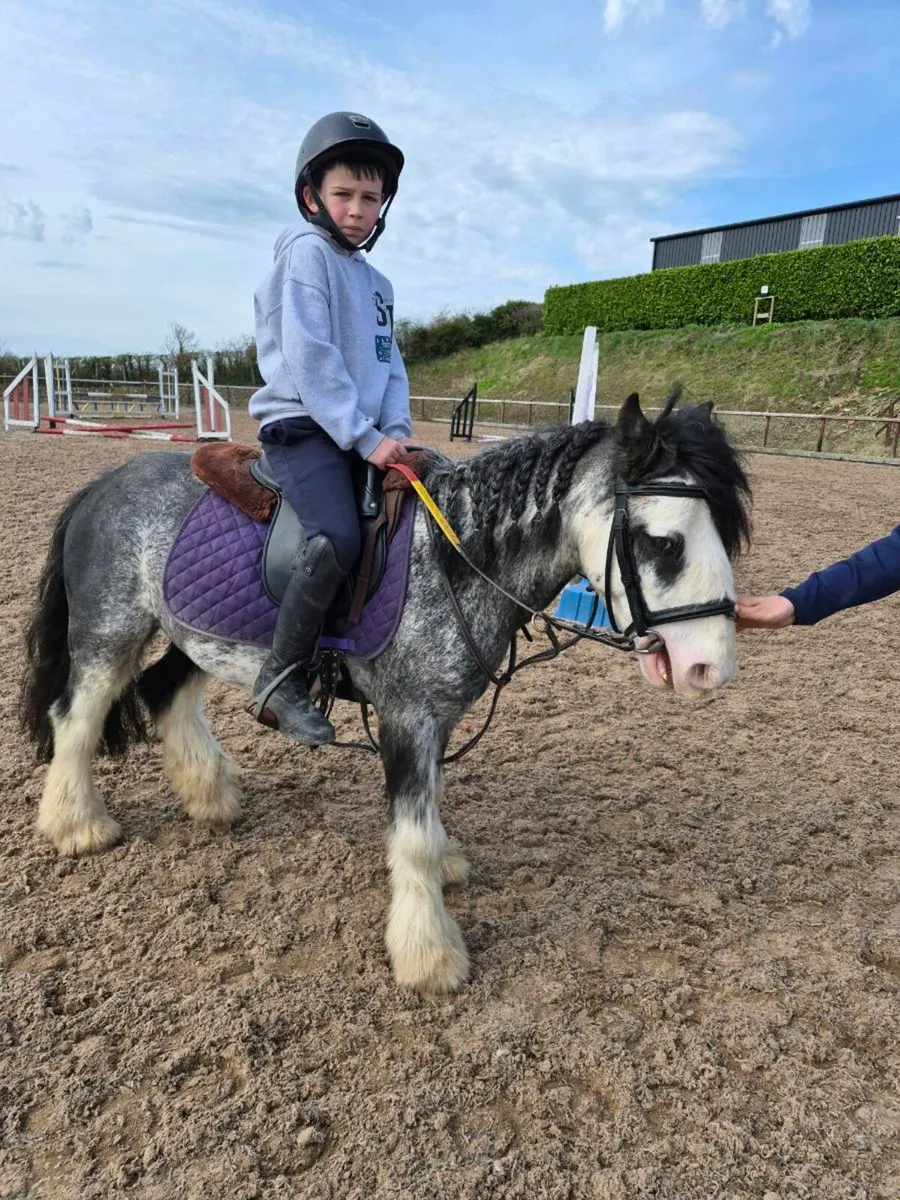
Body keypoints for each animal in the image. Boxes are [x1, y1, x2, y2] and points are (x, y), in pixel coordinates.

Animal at [21, 391, 750, 994]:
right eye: (663, 542)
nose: (710, 667)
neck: (459, 557)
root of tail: (102, 485)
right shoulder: (407, 716)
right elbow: (413, 835)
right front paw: (430, 957)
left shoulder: (438, 719)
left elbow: (427, 811)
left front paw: (444, 867)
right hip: (110, 631)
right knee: (76, 718)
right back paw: (77, 826)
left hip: (193, 630)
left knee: (165, 691)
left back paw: (210, 796)